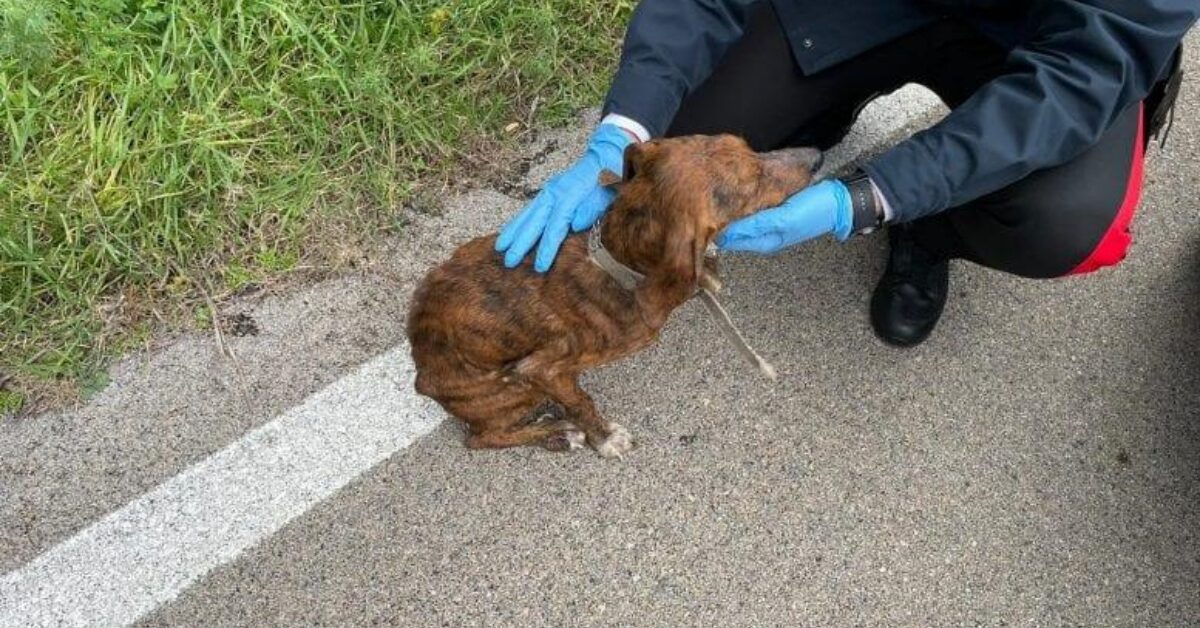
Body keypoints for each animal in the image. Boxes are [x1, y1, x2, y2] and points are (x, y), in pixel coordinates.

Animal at [408, 133, 820, 456]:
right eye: (752, 184)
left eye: (749, 147)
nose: (816, 157)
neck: (618, 263)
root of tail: (421, 375)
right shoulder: (543, 369)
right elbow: (581, 403)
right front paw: (603, 437)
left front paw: (708, 268)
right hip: (511, 387)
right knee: (480, 438)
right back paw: (557, 434)